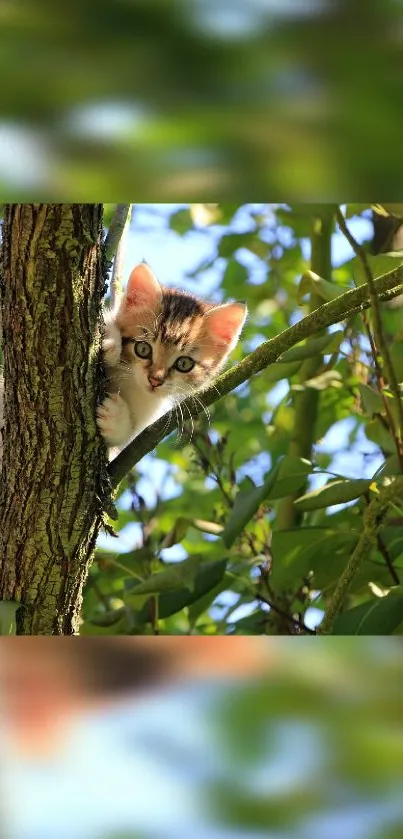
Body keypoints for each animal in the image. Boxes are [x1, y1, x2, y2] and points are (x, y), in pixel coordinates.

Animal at [97, 264, 248, 450]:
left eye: (183, 364)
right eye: (143, 349)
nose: (154, 380)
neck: (130, 382)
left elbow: (124, 440)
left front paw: (115, 419)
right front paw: (110, 340)